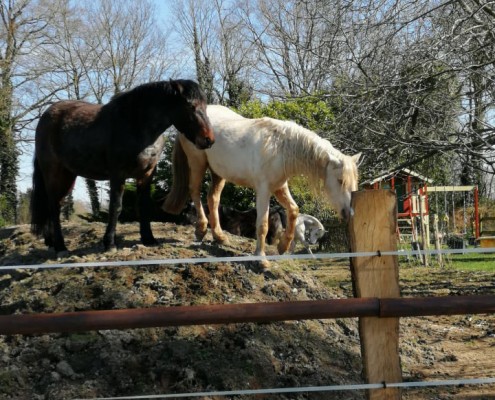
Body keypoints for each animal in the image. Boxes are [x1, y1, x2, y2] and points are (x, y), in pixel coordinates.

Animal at [31, 79, 213, 255]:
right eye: (190, 106)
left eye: (205, 106)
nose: (209, 140)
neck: (136, 124)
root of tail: (46, 116)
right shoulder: (118, 174)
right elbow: (116, 207)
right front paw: (110, 243)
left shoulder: (147, 174)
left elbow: (144, 206)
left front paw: (149, 239)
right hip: (53, 172)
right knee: (54, 206)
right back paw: (60, 246)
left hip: (68, 175)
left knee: (55, 204)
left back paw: (51, 241)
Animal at [163, 105, 360, 266]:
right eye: (340, 180)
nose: (348, 213)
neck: (280, 147)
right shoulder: (264, 190)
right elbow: (263, 224)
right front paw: (261, 258)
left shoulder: (279, 187)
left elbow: (294, 210)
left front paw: (283, 246)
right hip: (197, 163)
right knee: (195, 192)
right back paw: (201, 229)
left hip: (218, 172)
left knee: (213, 198)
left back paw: (220, 237)